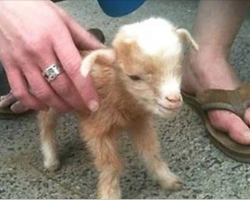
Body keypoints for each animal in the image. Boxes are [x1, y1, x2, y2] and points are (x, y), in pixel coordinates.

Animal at [37, 17, 197, 198]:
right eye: (134, 77)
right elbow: (110, 166)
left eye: (179, 68)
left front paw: (167, 179)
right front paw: (109, 194)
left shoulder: (139, 121)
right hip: (50, 99)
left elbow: (151, 150)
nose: (173, 100)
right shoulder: (97, 128)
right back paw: (51, 159)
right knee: (46, 124)